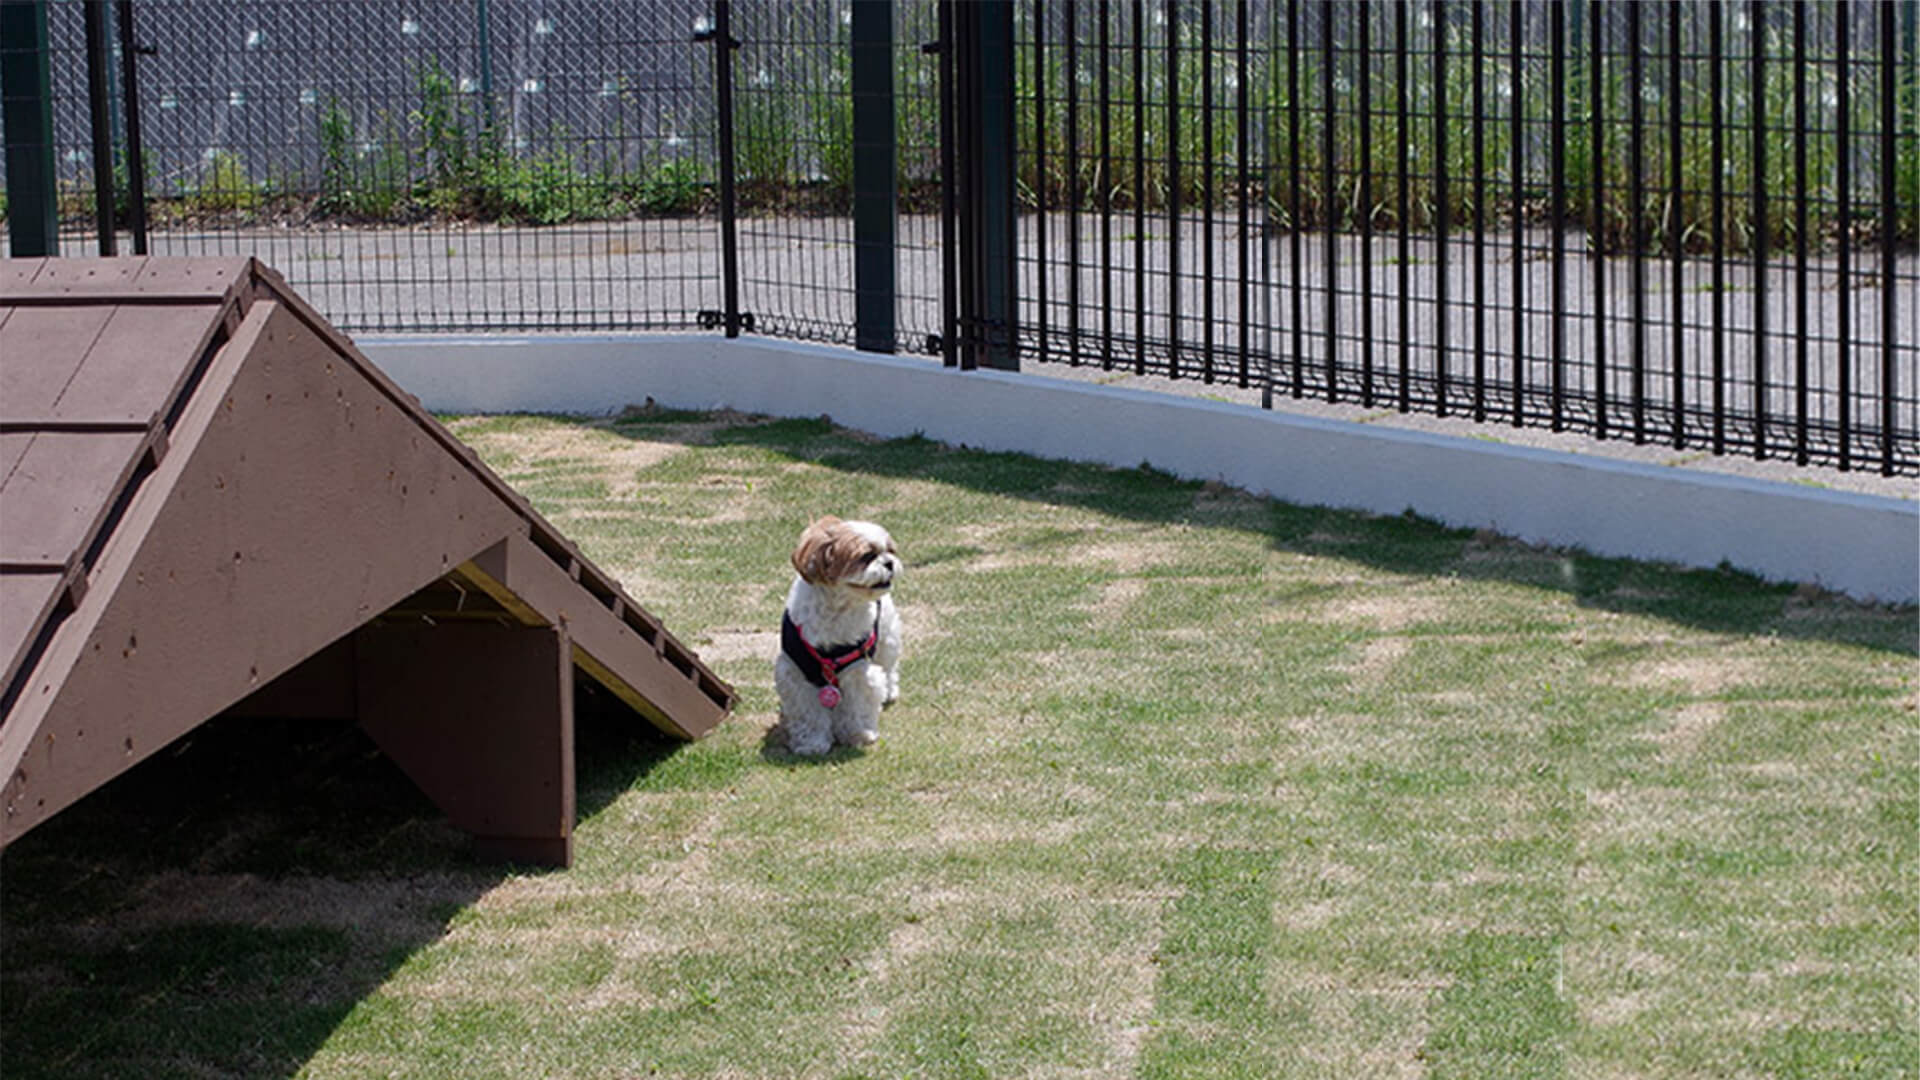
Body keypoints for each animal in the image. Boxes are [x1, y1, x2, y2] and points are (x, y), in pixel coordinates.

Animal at [775, 515, 902, 753]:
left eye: (890, 551)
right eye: (867, 556)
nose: (889, 562)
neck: (837, 610)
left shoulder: (858, 670)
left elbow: (857, 706)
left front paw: (858, 734)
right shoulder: (796, 674)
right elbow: (808, 714)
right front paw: (811, 743)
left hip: (887, 639)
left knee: (888, 668)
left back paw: (890, 690)